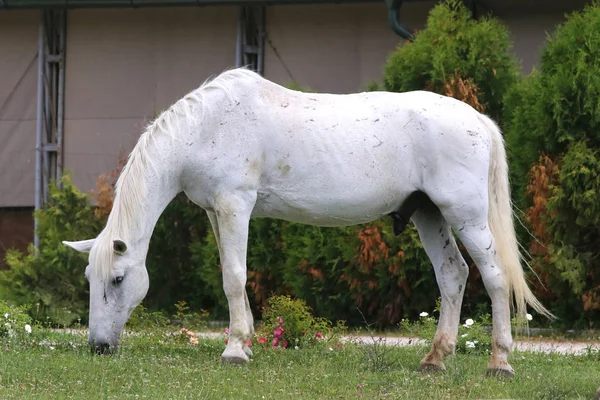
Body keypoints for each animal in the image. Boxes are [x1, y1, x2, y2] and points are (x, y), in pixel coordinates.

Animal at [64, 67, 552, 376]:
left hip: (465, 216)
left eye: (118, 279)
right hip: (429, 215)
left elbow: (234, 277)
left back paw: (500, 363)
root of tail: (478, 120)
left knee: (494, 277)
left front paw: (235, 350)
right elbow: (229, 275)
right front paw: (243, 342)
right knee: (453, 275)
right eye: (90, 279)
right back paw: (434, 360)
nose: (98, 347)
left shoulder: (234, 205)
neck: (206, 127)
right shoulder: (216, 213)